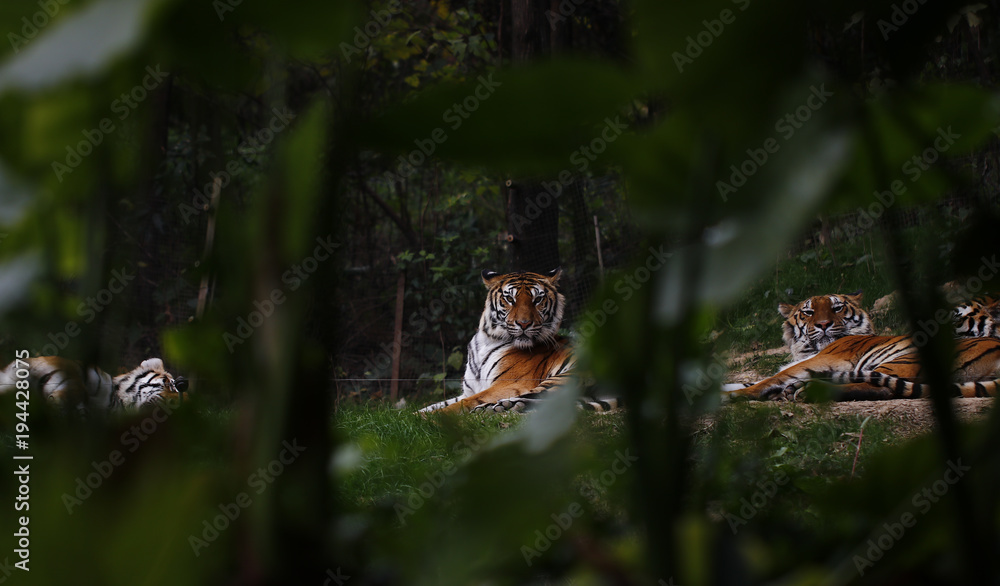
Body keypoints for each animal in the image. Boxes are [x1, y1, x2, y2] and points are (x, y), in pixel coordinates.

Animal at [418, 268, 614, 414]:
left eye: (538, 299)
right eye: (509, 299)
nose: (524, 323)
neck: (487, 340)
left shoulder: (510, 383)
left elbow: (463, 403)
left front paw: (433, 419)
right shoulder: (468, 390)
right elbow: (436, 404)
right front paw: (416, 415)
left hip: (568, 376)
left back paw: (493, 408)